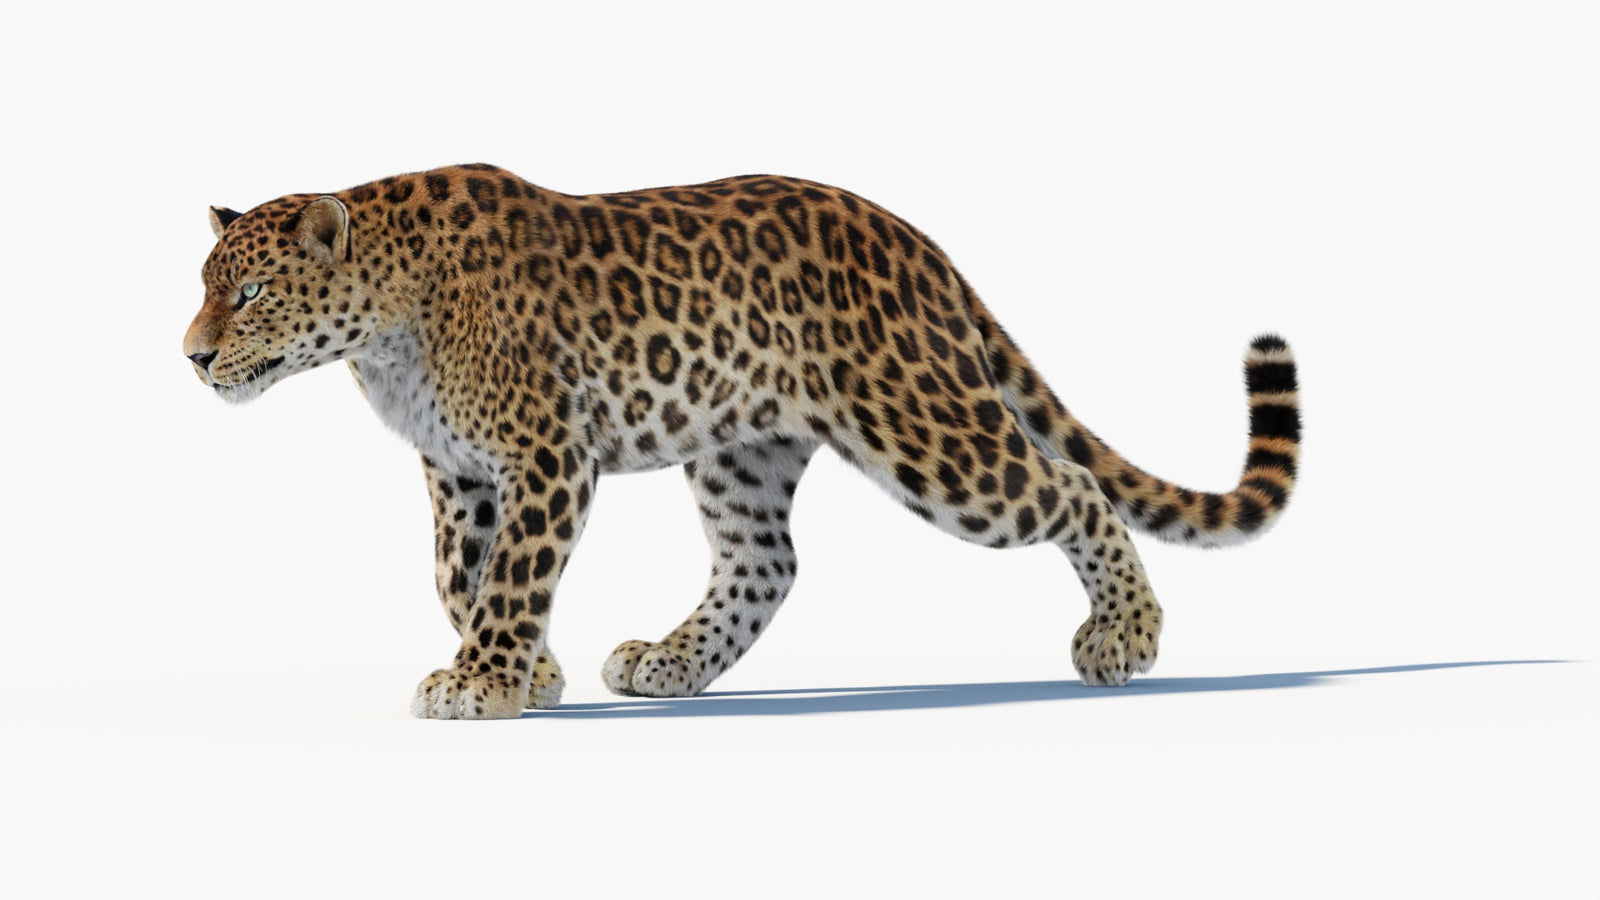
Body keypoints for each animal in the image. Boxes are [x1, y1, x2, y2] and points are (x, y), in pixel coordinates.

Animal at [183, 164, 1301, 720]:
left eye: (251, 293)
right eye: (205, 285)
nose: (191, 357)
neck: (380, 332)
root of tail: (919, 243)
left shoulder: (545, 454)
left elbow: (509, 579)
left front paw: (487, 683)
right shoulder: (458, 473)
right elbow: (461, 577)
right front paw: (526, 674)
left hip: (928, 432)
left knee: (1071, 487)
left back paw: (1124, 638)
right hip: (741, 451)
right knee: (767, 562)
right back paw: (668, 663)